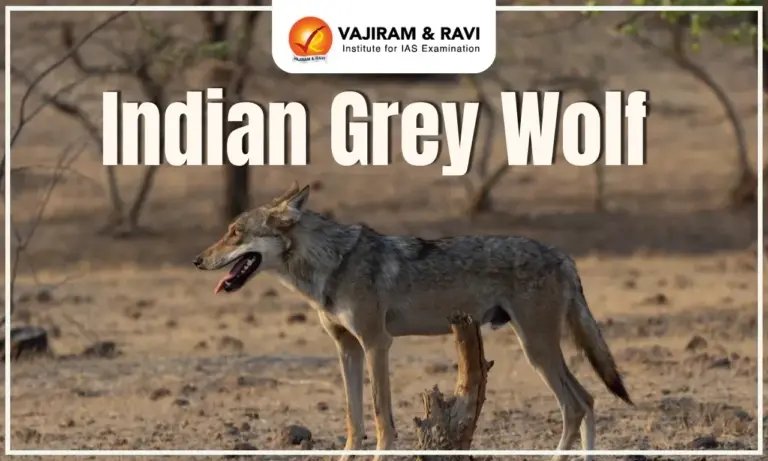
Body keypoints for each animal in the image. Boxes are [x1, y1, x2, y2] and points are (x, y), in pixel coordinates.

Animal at [193, 181, 633, 461]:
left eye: (235, 232)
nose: (197, 260)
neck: (332, 265)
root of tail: (563, 255)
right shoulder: (347, 348)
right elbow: (353, 420)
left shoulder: (376, 343)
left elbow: (380, 418)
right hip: (540, 350)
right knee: (588, 399)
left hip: (535, 349)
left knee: (575, 405)